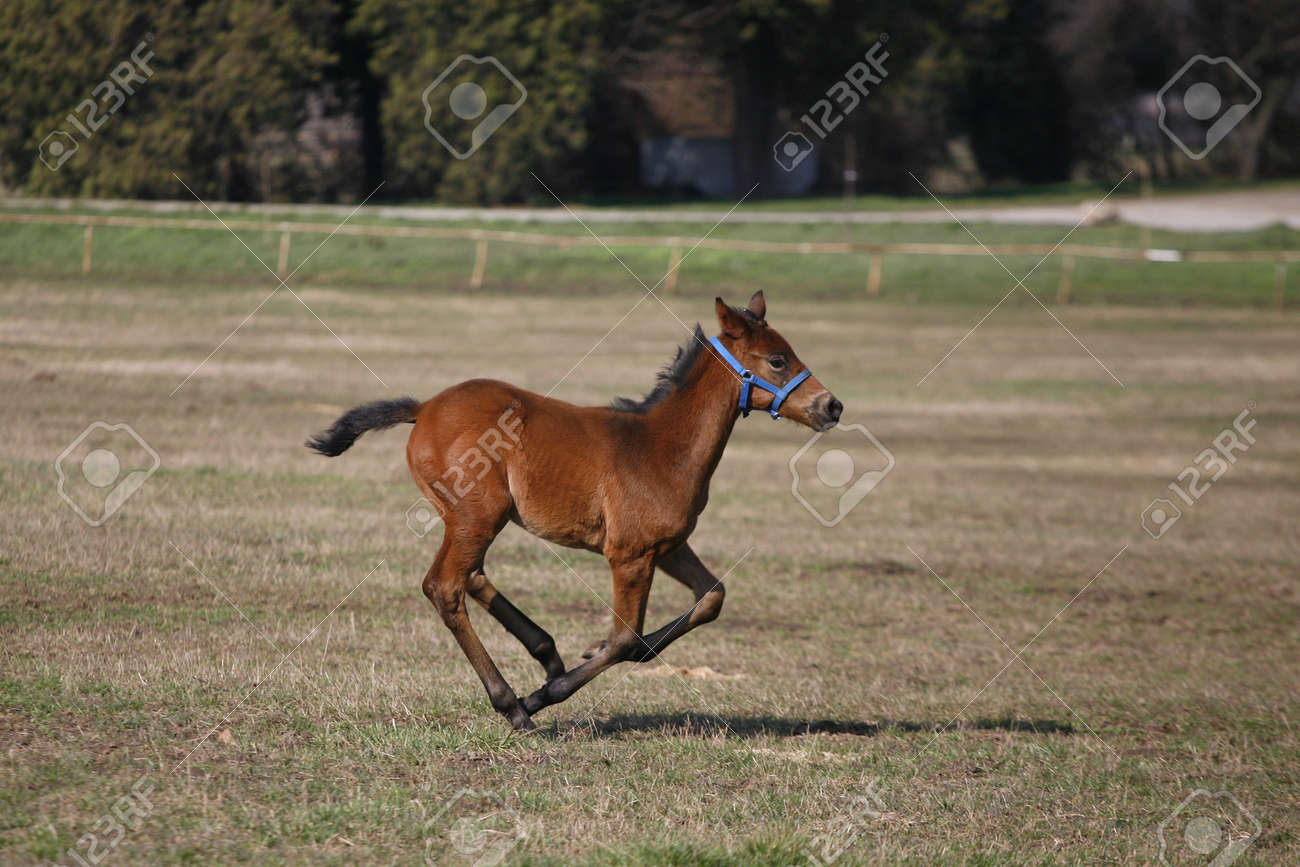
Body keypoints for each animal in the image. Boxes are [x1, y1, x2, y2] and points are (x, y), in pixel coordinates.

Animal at [310, 293, 847, 733]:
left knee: (471, 575)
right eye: (777, 359)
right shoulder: (630, 554)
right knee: (445, 586)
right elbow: (625, 639)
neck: (661, 446)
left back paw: (546, 653)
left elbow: (710, 597)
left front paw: (580, 657)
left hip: (476, 517)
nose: (832, 406)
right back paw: (514, 704)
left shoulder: (668, 547)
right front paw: (545, 695)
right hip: (479, 513)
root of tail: (424, 408)